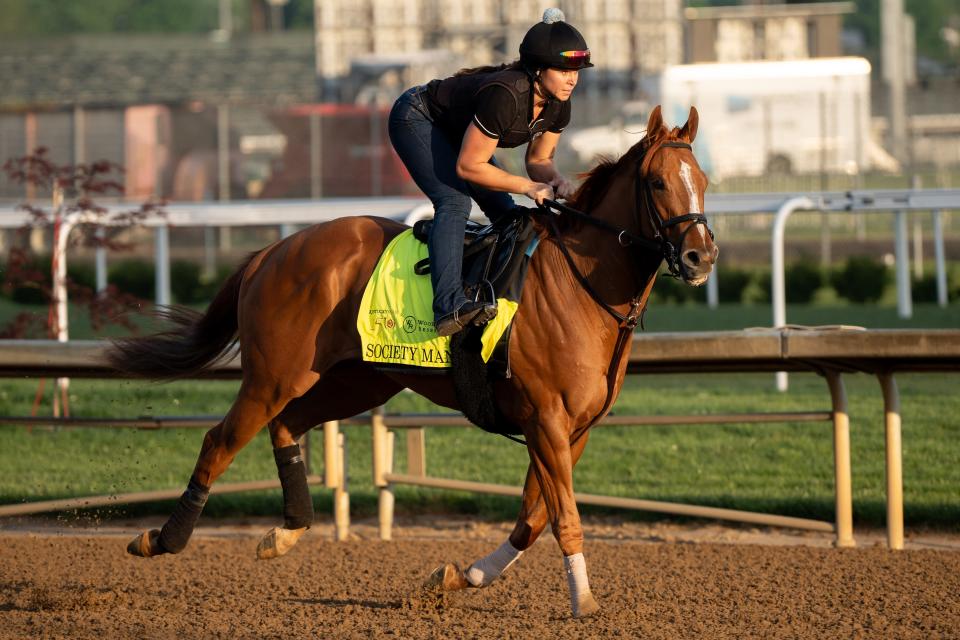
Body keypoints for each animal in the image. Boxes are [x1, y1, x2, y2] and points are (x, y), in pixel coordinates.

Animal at [110, 107, 712, 616]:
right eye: (658, 183)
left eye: (703, 181)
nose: (700, 256)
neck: (580, 285)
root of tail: (272, 252)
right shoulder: (545, 419)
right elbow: (563, 515)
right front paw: (583, 601)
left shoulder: (575, 428)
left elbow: (532, 518)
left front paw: (458, 577)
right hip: (273, 375)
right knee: (220, 441)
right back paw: (162, 539)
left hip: (356, 381)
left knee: (286, 426)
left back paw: (285, 533)